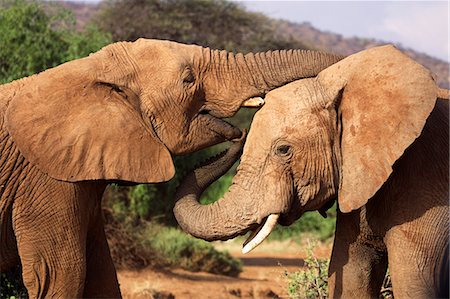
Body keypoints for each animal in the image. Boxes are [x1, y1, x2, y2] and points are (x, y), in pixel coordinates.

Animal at [0, 38, 342, 298]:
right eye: (189, 79)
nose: (239, 133)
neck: (89, 68)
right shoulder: (45, 178)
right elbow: (60, 274)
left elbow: (101, 274)